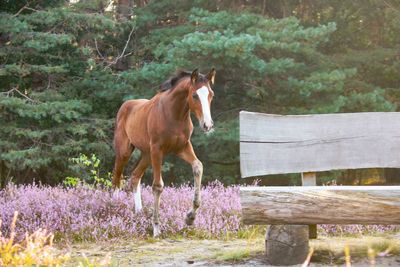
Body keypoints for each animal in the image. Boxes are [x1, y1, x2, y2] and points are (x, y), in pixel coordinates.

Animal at [111, 68, 217, 238]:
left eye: (211, 94)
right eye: (194, 95)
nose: (207, 125)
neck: (174, 115)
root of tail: (125, 105)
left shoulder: (183, 148)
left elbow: (198, 167)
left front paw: (190, 217)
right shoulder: (157, 150)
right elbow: (158, 186)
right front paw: (156, 228)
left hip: (147, 155)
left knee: (135, 176)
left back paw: (139, 213)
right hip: (125, 151)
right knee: (117, 178)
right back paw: (114, 209)